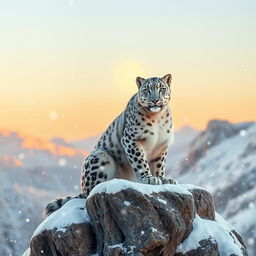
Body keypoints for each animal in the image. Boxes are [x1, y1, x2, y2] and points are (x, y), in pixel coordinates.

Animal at [45, 73, 176, 216]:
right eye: (147, 89)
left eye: (162, 88)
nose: (155, 100)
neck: (157, 117)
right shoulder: (132, 139)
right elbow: (140, 161)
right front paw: (148, 178)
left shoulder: (161, 145)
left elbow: (159, 165)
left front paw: (163, 179)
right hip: (100, 156)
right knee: (89, 192)